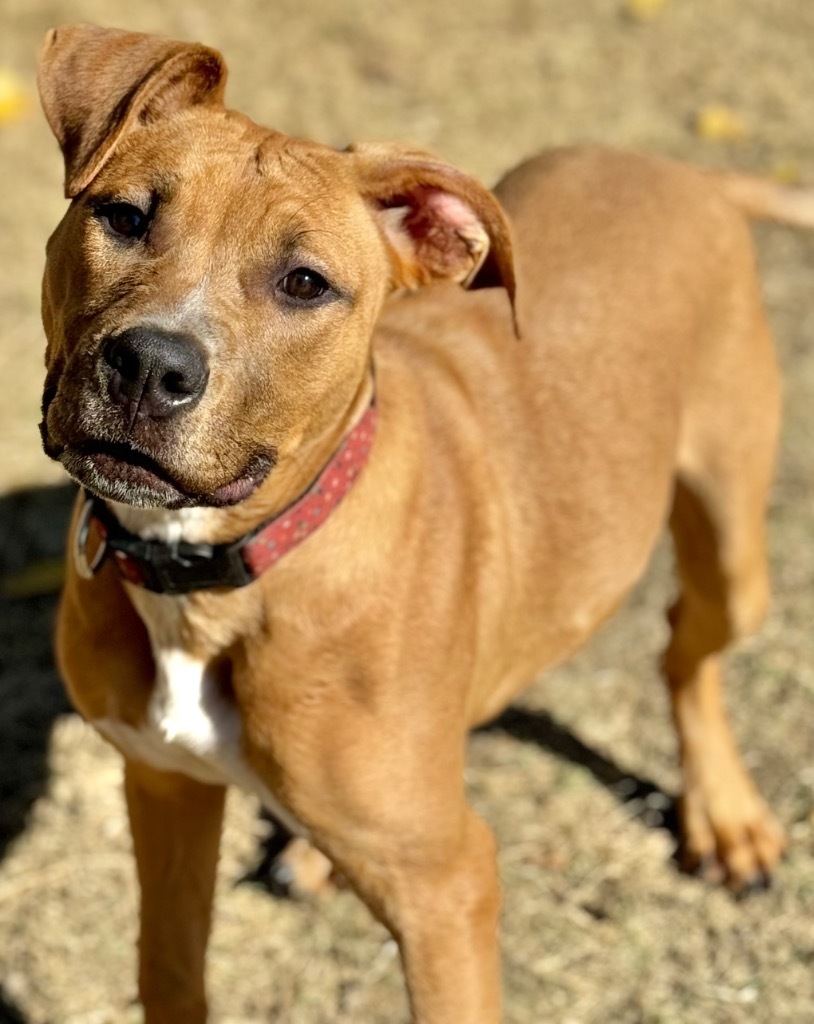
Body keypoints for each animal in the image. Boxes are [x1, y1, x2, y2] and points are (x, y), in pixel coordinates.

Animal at [36, 19, 806, 1024]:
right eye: (124, 217)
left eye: (306, 283)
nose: (150, 367)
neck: (228, 570)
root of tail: (677, 170)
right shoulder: (164, 787)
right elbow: (169, 973)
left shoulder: (449, 894)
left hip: (733, 548)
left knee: (688, 642)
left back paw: (725, 814)